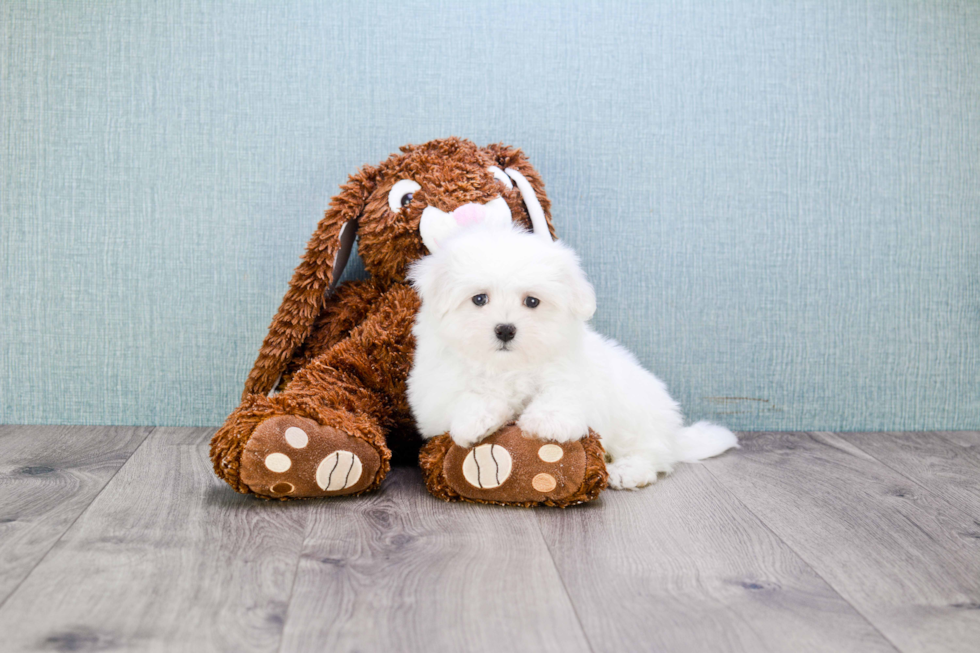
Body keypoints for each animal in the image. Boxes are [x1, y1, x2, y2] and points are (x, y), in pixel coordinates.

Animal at [404, 222, 736, 486]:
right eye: (479, 299)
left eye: (532, 301)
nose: (506, 330)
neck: (508, 366)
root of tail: (673, 434)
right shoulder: (433, 392)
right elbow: (466, 396)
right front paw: (477, 420)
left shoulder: (575, 373)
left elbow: (562, 391)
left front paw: (547, 421)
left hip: (636, 410)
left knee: (652, 451)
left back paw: (628, 471)